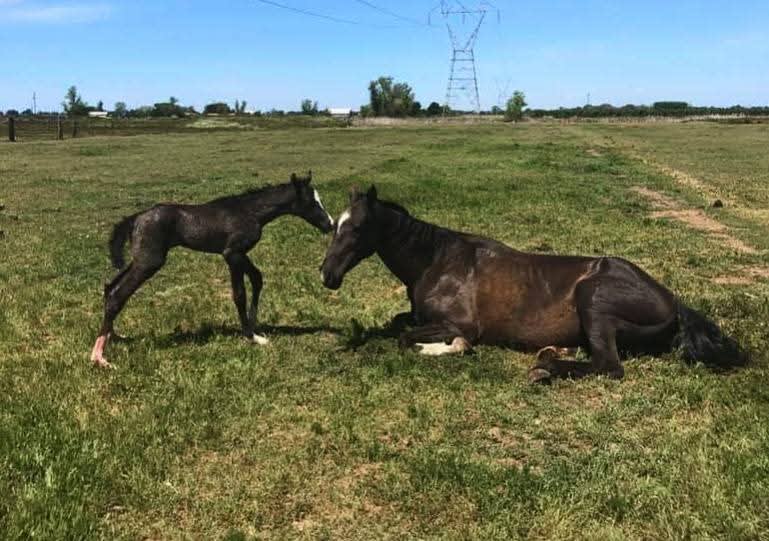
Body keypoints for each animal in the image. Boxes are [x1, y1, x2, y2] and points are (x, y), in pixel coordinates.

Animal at [90, 172, 334, 368]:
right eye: (311, 202)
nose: (330, 224)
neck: (250, 212)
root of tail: (135, 218)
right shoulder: (232, 254)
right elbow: (239, 294)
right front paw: (252, 336)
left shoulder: (238, 254)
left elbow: (257, 278)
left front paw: (255, 324)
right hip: (149, 262)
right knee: (118, 295)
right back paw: (99, 357)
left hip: (140, 259)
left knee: (110, 287)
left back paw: (114, 336)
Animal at [320, 186, 748, 383]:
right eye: (335, 224)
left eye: (357, 228)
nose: (327, 275)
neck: (437, 261)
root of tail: (673, 302)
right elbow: (399, 324)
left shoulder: (459, 324)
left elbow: (410, 338)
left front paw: (446, 348)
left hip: (592, 299)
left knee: (609, 367)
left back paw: (545, 368)